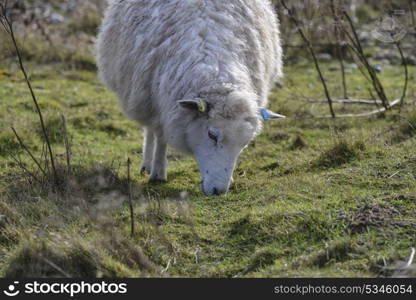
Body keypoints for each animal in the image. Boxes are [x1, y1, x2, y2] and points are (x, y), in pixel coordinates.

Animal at [97, 0, 284, 196]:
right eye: (211, 135)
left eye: (244, 143)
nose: (218, 190)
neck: (216, 69)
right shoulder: (159, 102)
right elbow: (161, 137)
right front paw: (158, 173)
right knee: (150, 130)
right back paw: (147, 164)